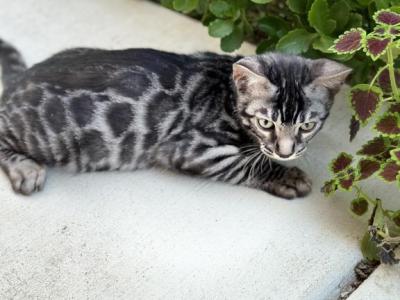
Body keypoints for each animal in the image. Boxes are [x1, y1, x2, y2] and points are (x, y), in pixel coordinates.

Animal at [0, 39, 350, 199]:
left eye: (307, 125)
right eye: (266, 123)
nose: (286, 152)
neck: (226, 92)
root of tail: (20, 81)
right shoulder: (192, 149)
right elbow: (249, 164)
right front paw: (286, 176)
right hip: (49, 138)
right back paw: (25, 168)